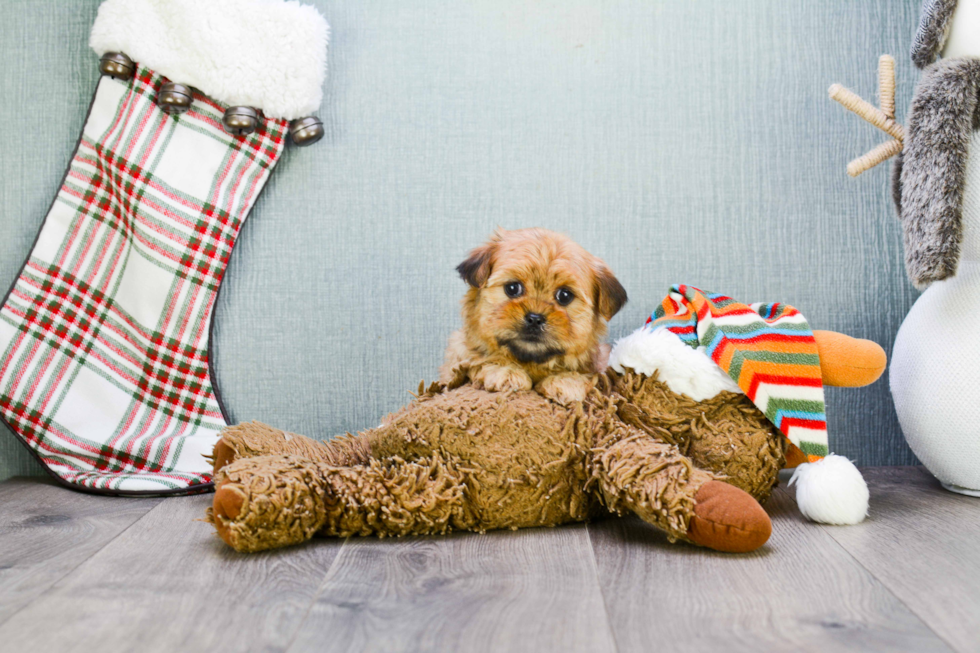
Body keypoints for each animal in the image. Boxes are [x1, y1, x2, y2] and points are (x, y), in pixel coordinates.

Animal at [438, 228, 624, 402]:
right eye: (513, 288)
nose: (535, 318)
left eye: (565, 296)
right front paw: (504, 371)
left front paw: (565, 381)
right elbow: (478, 362)